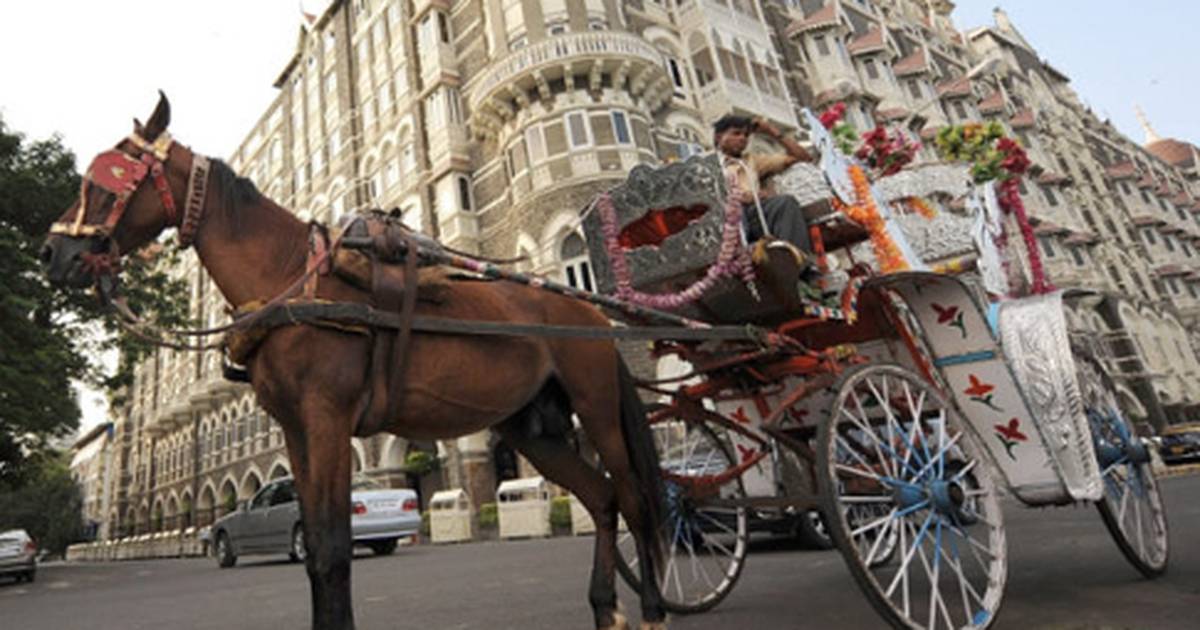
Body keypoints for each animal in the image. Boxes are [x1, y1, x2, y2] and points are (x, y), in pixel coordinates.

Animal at [41, 94, 668, 630]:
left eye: (105, 177)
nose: (53, 252)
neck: (294, 278)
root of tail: (582, 307)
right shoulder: (296, 430)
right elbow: (317, 547)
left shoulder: (329, 419)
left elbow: (337, 549)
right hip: (533, 428)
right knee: (602, 497)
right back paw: (605, 606)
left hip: (595, 404)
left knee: (634, 497)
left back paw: (654, 608)